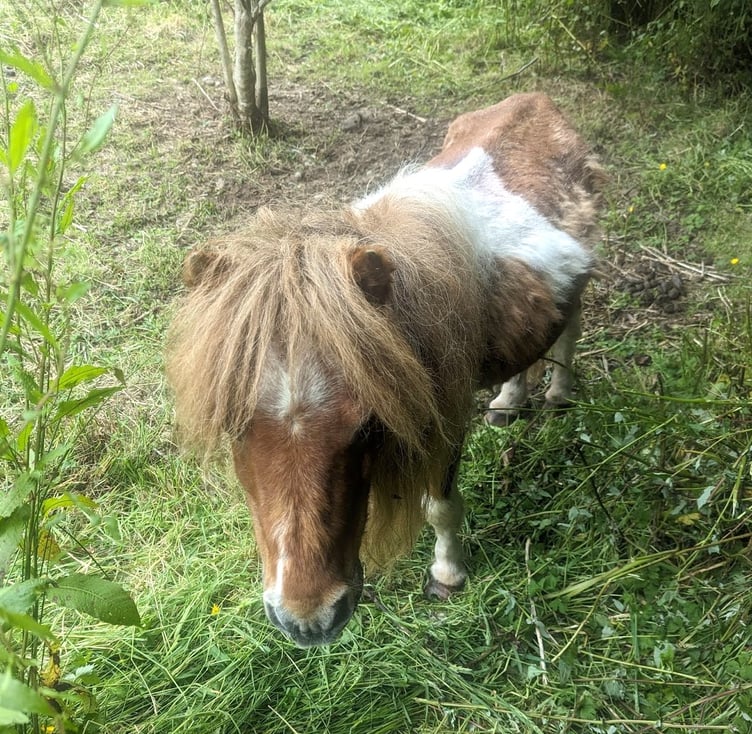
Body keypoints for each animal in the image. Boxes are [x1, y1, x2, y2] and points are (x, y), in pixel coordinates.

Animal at [166, 93, 605, 647]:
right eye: (233, 426)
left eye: (367, 429)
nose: (307, 619)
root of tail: (537, 100)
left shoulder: (445, 421)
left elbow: (439, 506)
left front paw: (447, 576)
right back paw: (509, 401)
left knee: (570, 329)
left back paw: (559, 394)